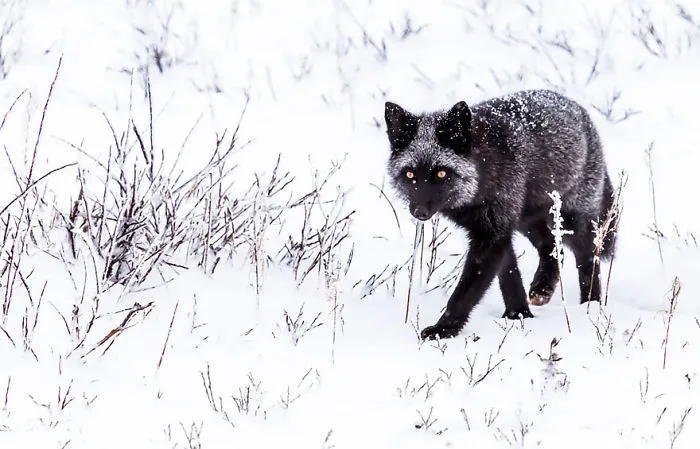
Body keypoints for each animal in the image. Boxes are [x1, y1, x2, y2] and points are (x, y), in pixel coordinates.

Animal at [384, 89, 616, 340]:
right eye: (409, 174)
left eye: (441, 173)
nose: (419, 212)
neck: (482, 173)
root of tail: (580, 110)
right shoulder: (496, 229)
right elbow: (509, 274)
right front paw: (518, 315)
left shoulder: (492, 235)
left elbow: (465, 292)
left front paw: (444, 329)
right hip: (526, 220)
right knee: (553, 246)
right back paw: (543, 287)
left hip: (571, 220)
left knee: (588, 257)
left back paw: (590, 306)